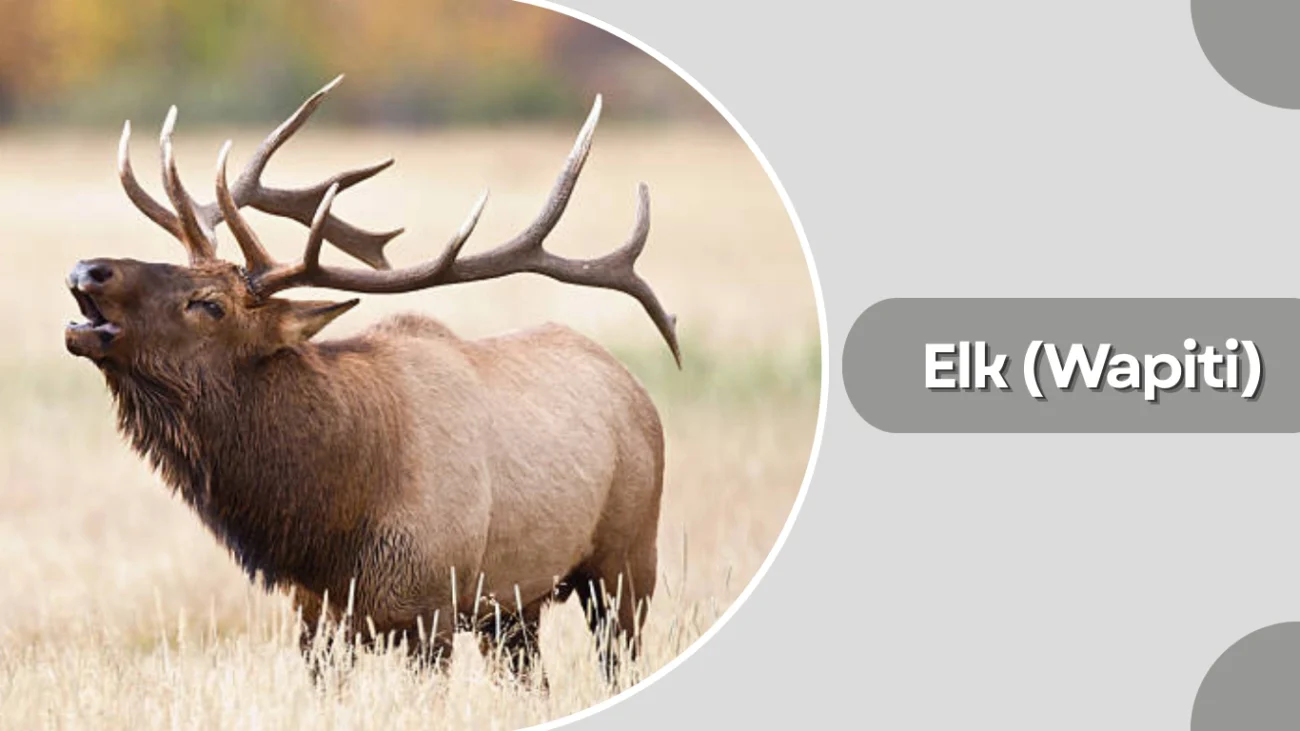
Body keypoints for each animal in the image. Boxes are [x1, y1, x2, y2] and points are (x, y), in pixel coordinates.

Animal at [62, 76, 680, 686]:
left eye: (210, 304)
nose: (89, 269)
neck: (331, 524)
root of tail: (634, 389)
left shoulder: (431, 607)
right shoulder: (315, 618)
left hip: (628, 560)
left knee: (618, 655)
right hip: (514, 606)